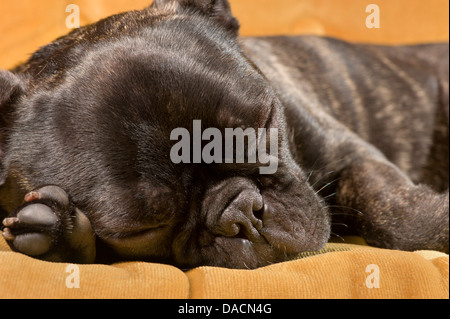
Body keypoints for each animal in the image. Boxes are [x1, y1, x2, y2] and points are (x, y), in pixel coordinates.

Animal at [0, 0, 448, 270]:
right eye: (141, 229)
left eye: (265, 122)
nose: (241, 213)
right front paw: (57, 234)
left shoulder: (350, 152)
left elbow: (390, 207)